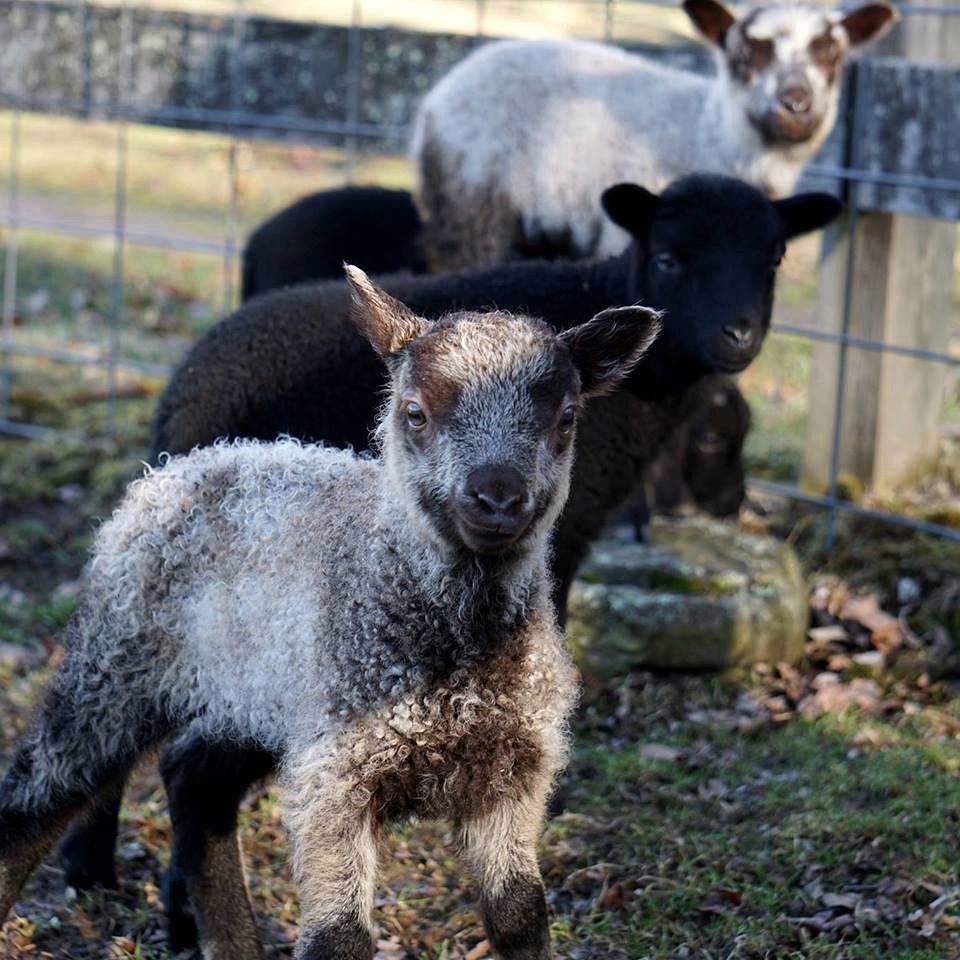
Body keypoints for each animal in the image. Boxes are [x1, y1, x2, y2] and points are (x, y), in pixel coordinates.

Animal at [0, 268, 660, 960]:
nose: (498, 497)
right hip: (121, 658)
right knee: (39, 789)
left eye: (565, 418)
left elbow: (520, 915)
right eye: (415, 412)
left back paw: (234, 941)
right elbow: (339, 937)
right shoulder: (335, 779)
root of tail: (184, 465)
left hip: (258, 693)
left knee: (194, 779)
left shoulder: (513, 774)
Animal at [414, 0, 900, 270]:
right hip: (473, 199)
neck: (703, 133)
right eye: (743, 56)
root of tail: (430, 104)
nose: (796, 103)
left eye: (832, 55)